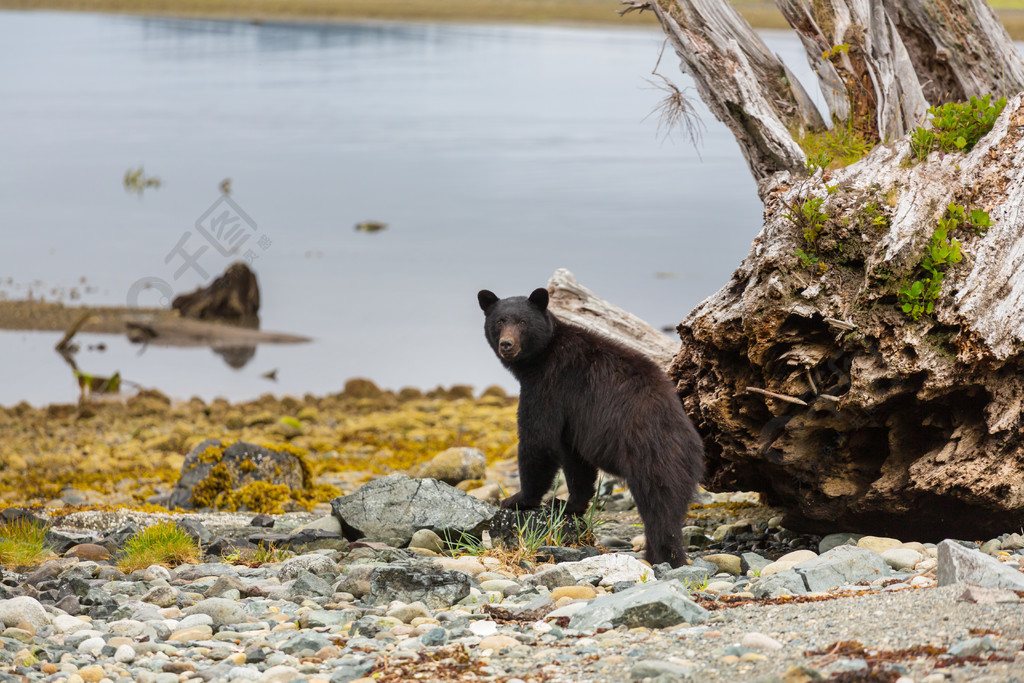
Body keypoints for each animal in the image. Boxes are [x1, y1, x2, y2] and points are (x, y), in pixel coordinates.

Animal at [477, 286, 704, 569]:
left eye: (522, 322)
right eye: (499, 321)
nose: (507, 344)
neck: (542, 356)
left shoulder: (550, 385)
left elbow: (538, 440)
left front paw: (518, 499)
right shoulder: (574, 420)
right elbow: (575, 461)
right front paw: (567, 504)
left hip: (652, 458)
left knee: (660, 512)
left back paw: (667, 557)